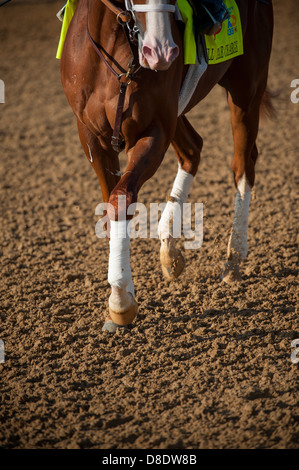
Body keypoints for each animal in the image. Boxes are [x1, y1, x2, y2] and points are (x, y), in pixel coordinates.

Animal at [61, 0, 274, 330]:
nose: (161, 50)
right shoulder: (91, 138)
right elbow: (109, 202)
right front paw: (123, 292)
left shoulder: (154, 130)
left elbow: (121, 197)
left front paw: (121, 299)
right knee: (192, 149)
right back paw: (169, 249)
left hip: (247, 87)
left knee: (243, 163)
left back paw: (234, 257)